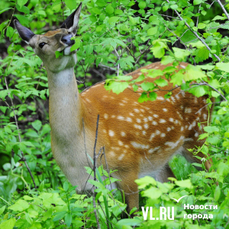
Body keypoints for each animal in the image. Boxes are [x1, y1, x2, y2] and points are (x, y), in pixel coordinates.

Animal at [14, 2, 213, 212]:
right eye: (41, 44)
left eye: (70, 32)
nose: (68, 40)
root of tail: (202, 73)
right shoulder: (83, 187)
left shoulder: (128, 167)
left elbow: (132, 214)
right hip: (158, 160)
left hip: (198, 132)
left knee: (213, 173)